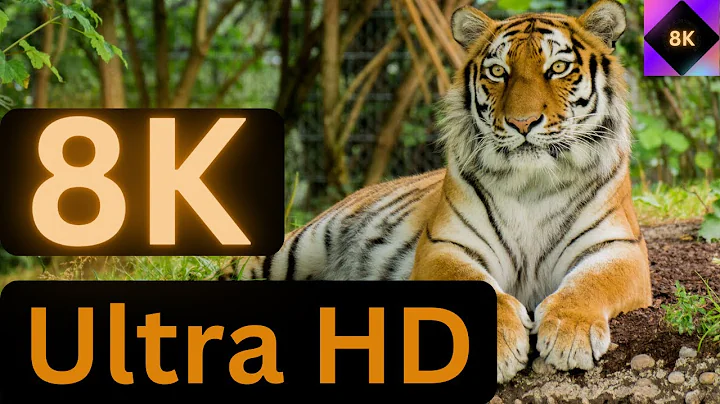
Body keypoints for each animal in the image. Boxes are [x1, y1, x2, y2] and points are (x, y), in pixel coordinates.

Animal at [219, 0, 652, 385]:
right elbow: (474, 281)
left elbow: (589, 283)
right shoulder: (445, 246)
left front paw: (570, 335)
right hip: (296, 248)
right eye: (498, 72)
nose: (522, 123)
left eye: (558, 68)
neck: (532, 182)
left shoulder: (618, 247)